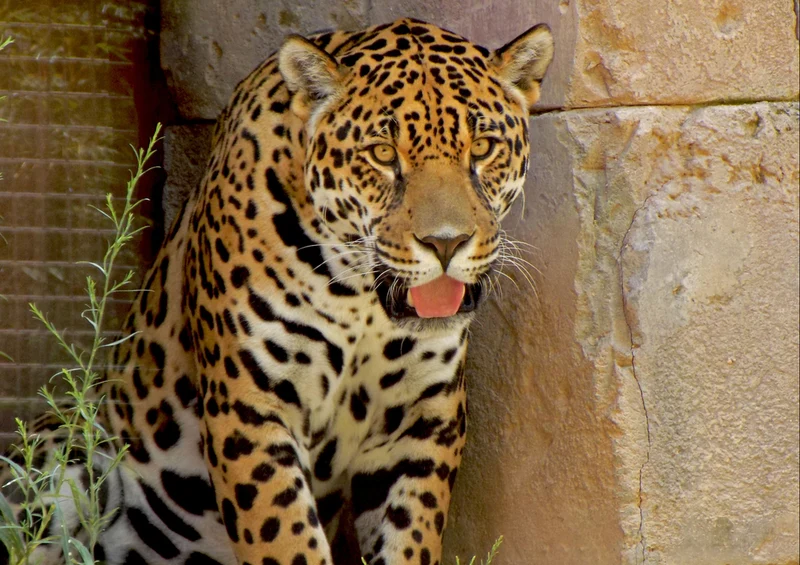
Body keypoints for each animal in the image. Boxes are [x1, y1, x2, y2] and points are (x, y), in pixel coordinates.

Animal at [0, 17, 553, 565]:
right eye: (381, 154)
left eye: (482, 148)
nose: (446, 243)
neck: (362, 301)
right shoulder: (251, 409)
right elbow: (287, 540)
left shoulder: (421, 422)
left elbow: (408, 540)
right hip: (60, 456)